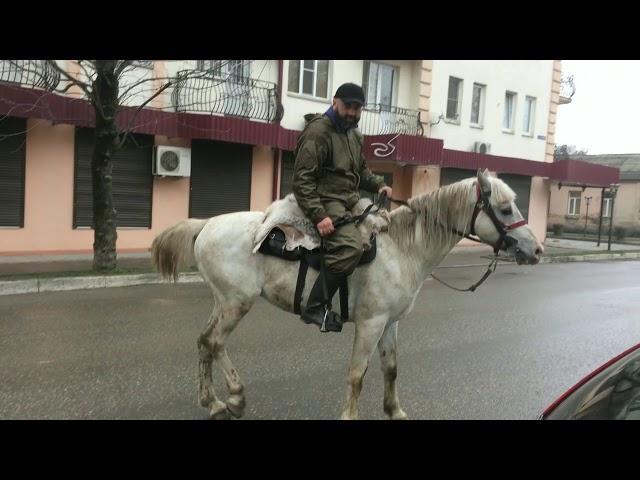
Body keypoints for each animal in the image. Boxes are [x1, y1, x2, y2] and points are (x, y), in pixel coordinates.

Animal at [152, 171, 544, 418]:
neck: (403, 249)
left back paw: (214, 401)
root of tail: (207, 225)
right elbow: (357, 374)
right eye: (505, 208)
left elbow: (391, 368)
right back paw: (231, 399)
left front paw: (395, 411)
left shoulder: (390, 323)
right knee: (215, 342)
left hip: (223, 302)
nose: (537, 250)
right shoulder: (370, 323)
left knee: (204, 342)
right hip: (236, 303)